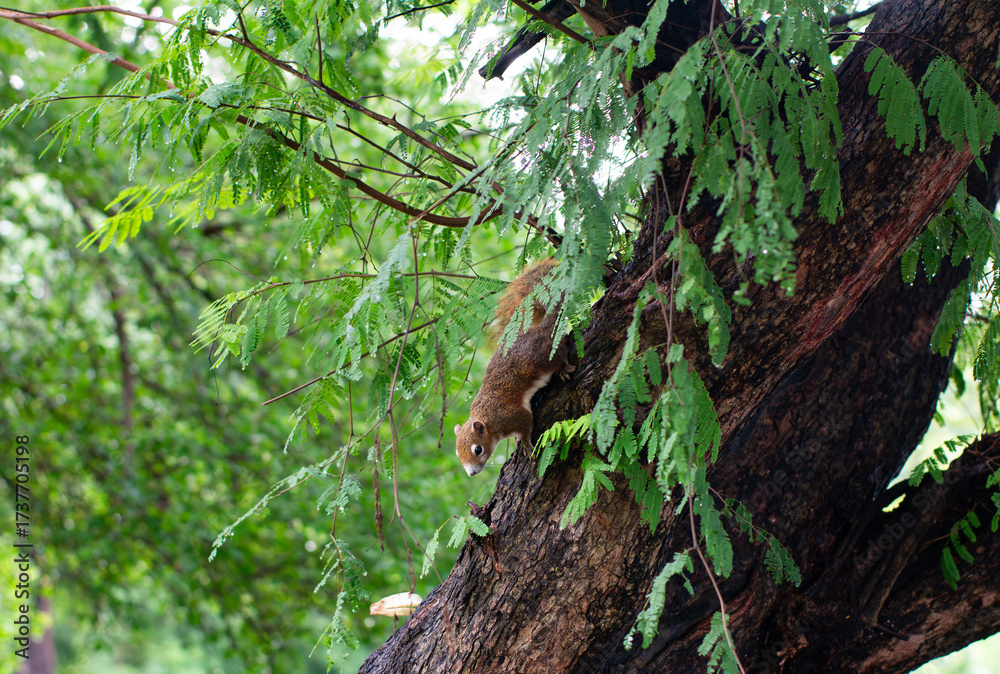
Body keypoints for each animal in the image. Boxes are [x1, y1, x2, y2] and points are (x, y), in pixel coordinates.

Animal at [454, 258, 575, 476]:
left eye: (478, 449)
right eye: (458, 453)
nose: (471, 473)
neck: (489, 420)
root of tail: (541, 328)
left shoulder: (513, 417)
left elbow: (527, 425)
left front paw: (525, 444)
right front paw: (518, 440)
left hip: (544, 358)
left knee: (560, 354)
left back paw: (563, 367)